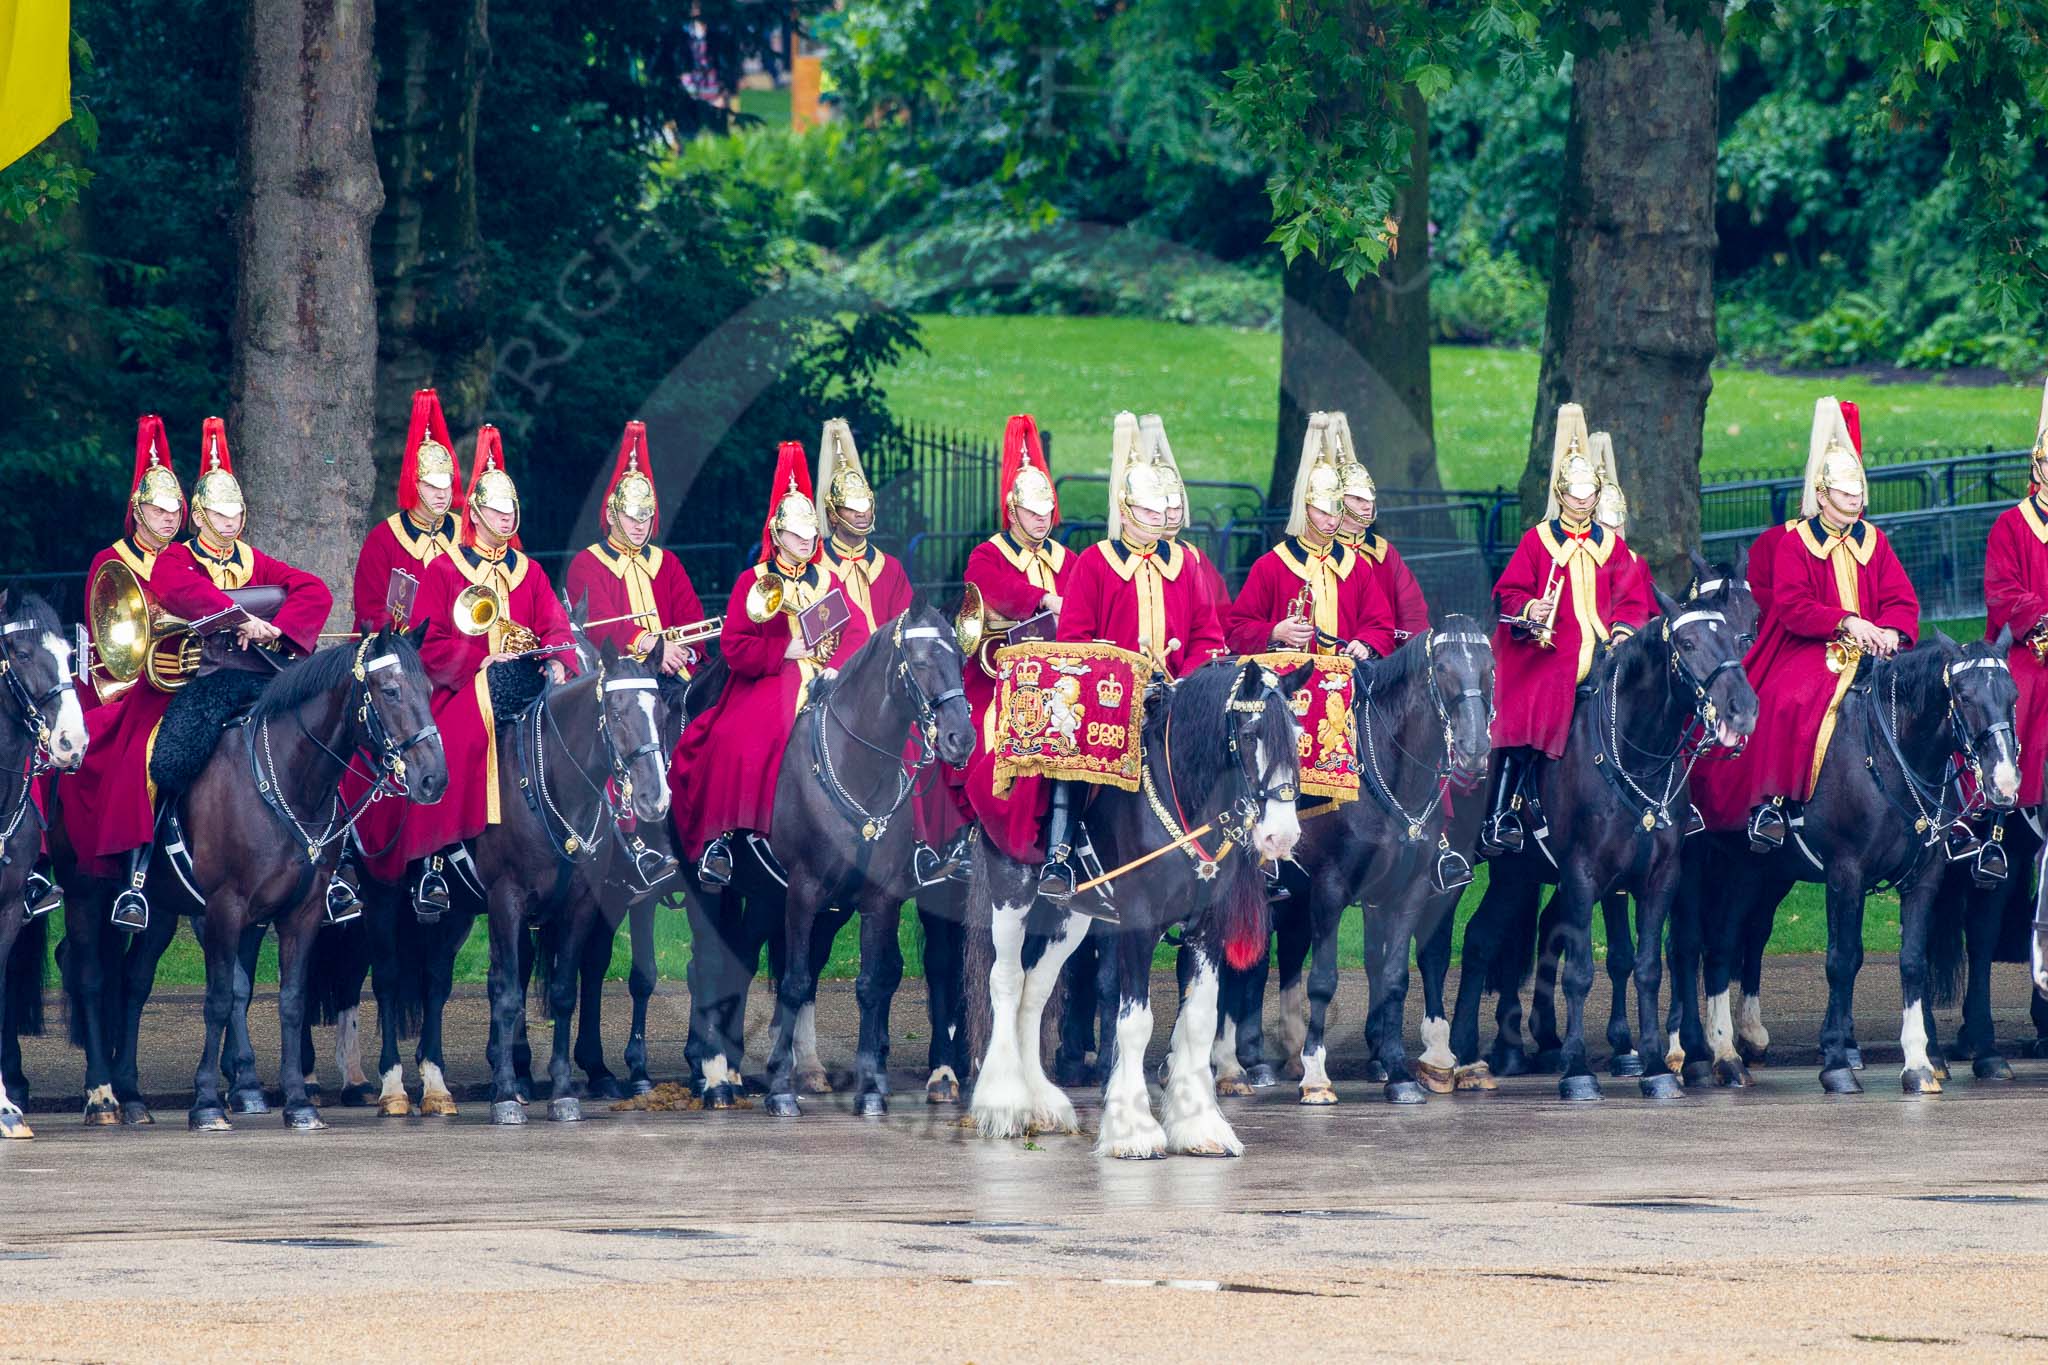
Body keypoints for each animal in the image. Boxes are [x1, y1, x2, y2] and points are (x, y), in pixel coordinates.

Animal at [681, 598, 973, 1117]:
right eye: (919, 661)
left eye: (960, 659)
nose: (961, 738)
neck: (859, 768)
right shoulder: (804, 890)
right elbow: (795, 981)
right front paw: (780, 1089)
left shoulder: (880, 898)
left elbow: (872, 981)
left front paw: (871, 1087)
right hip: (709, 888)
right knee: (711, 963)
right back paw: (715, 1075)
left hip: (766, 896)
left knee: (742, 957)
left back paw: (735, 1069)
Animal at [966, 655, 1311, 1159]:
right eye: (1250, 736)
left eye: (1297, 737)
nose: (1280, 837)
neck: (1180, 798)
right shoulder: (1138, 927)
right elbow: (1134, 1023)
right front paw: (1132, 1130)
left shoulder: (1206, 929)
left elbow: (1199, 1020)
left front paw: (1200, 1125)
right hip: (1011, 893)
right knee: (1007, 982)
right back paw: (1005, 1103)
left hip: (1070, 919)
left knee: (1035, 991)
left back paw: (1042, 1105)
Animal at [1440, 589, 1758, 1100]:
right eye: (1687, 643)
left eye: (1737, 637)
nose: (1742, 709)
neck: (1635, 754)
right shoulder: (1584, 876)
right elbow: (1581, 971)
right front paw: (1577, 1070)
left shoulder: (1659, 878)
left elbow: (1646, 966)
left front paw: (1655, 1066)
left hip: (1517, 874)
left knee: (1481, 938)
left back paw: (1475, 1056)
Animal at [1675, 631, 2020, 1094]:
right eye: (1963, 696)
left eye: (2013, 697)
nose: (2004, 784)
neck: (1893, 757)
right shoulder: (1846, 871)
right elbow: (1842, 960)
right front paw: (1837, 1062)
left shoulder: (1924, 877)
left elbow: (1913, 960)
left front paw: (1918, 1062)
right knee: (1691, 944)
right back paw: (1701, 1053)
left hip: (1755, 872)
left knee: (1728, 941)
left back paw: (1728, 1053)